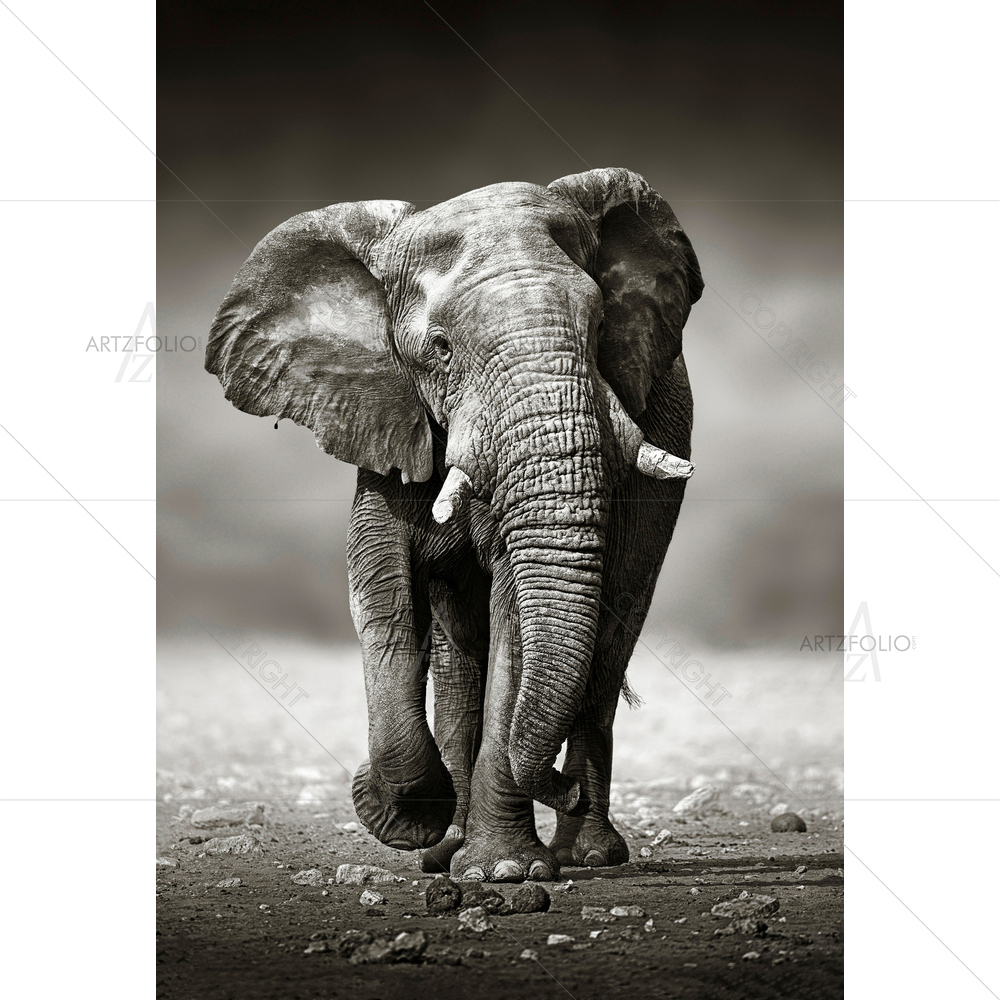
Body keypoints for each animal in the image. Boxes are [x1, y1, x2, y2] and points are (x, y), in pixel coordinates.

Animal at [205, 167, 703, 882]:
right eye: (439, 350)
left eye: (600, 325)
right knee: (459, 657)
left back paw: (586, 854)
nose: (559, 788)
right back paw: (449, 849)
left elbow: (515, 612)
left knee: (610, 638)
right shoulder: (386, 415)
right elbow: (381, 589)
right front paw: (407, 818)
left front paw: (506, 872)